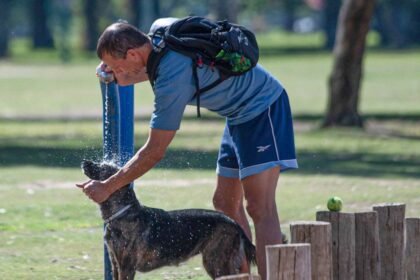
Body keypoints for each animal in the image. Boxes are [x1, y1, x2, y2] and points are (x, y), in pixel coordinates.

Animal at [79, 160, 256, 280]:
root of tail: (235, 223)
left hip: (216, 262)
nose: (84, 161)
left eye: (103, 168)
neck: (123, 212)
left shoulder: (126, 266)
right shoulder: (115, 264)